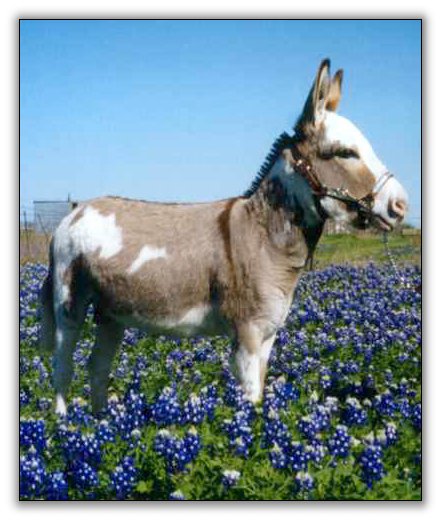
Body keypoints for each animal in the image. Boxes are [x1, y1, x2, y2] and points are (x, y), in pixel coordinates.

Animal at [40, 59, 408, 415]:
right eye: (345, 152)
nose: (400, 205)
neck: (263, 236)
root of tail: (75, 212)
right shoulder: (247, 335)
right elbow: (250, 397)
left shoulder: (268, 336)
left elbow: (260, 392)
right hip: (69, 304)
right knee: (62, 368)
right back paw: (64, 425)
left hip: (111, 313)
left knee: (96, 368)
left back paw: (100, 422)